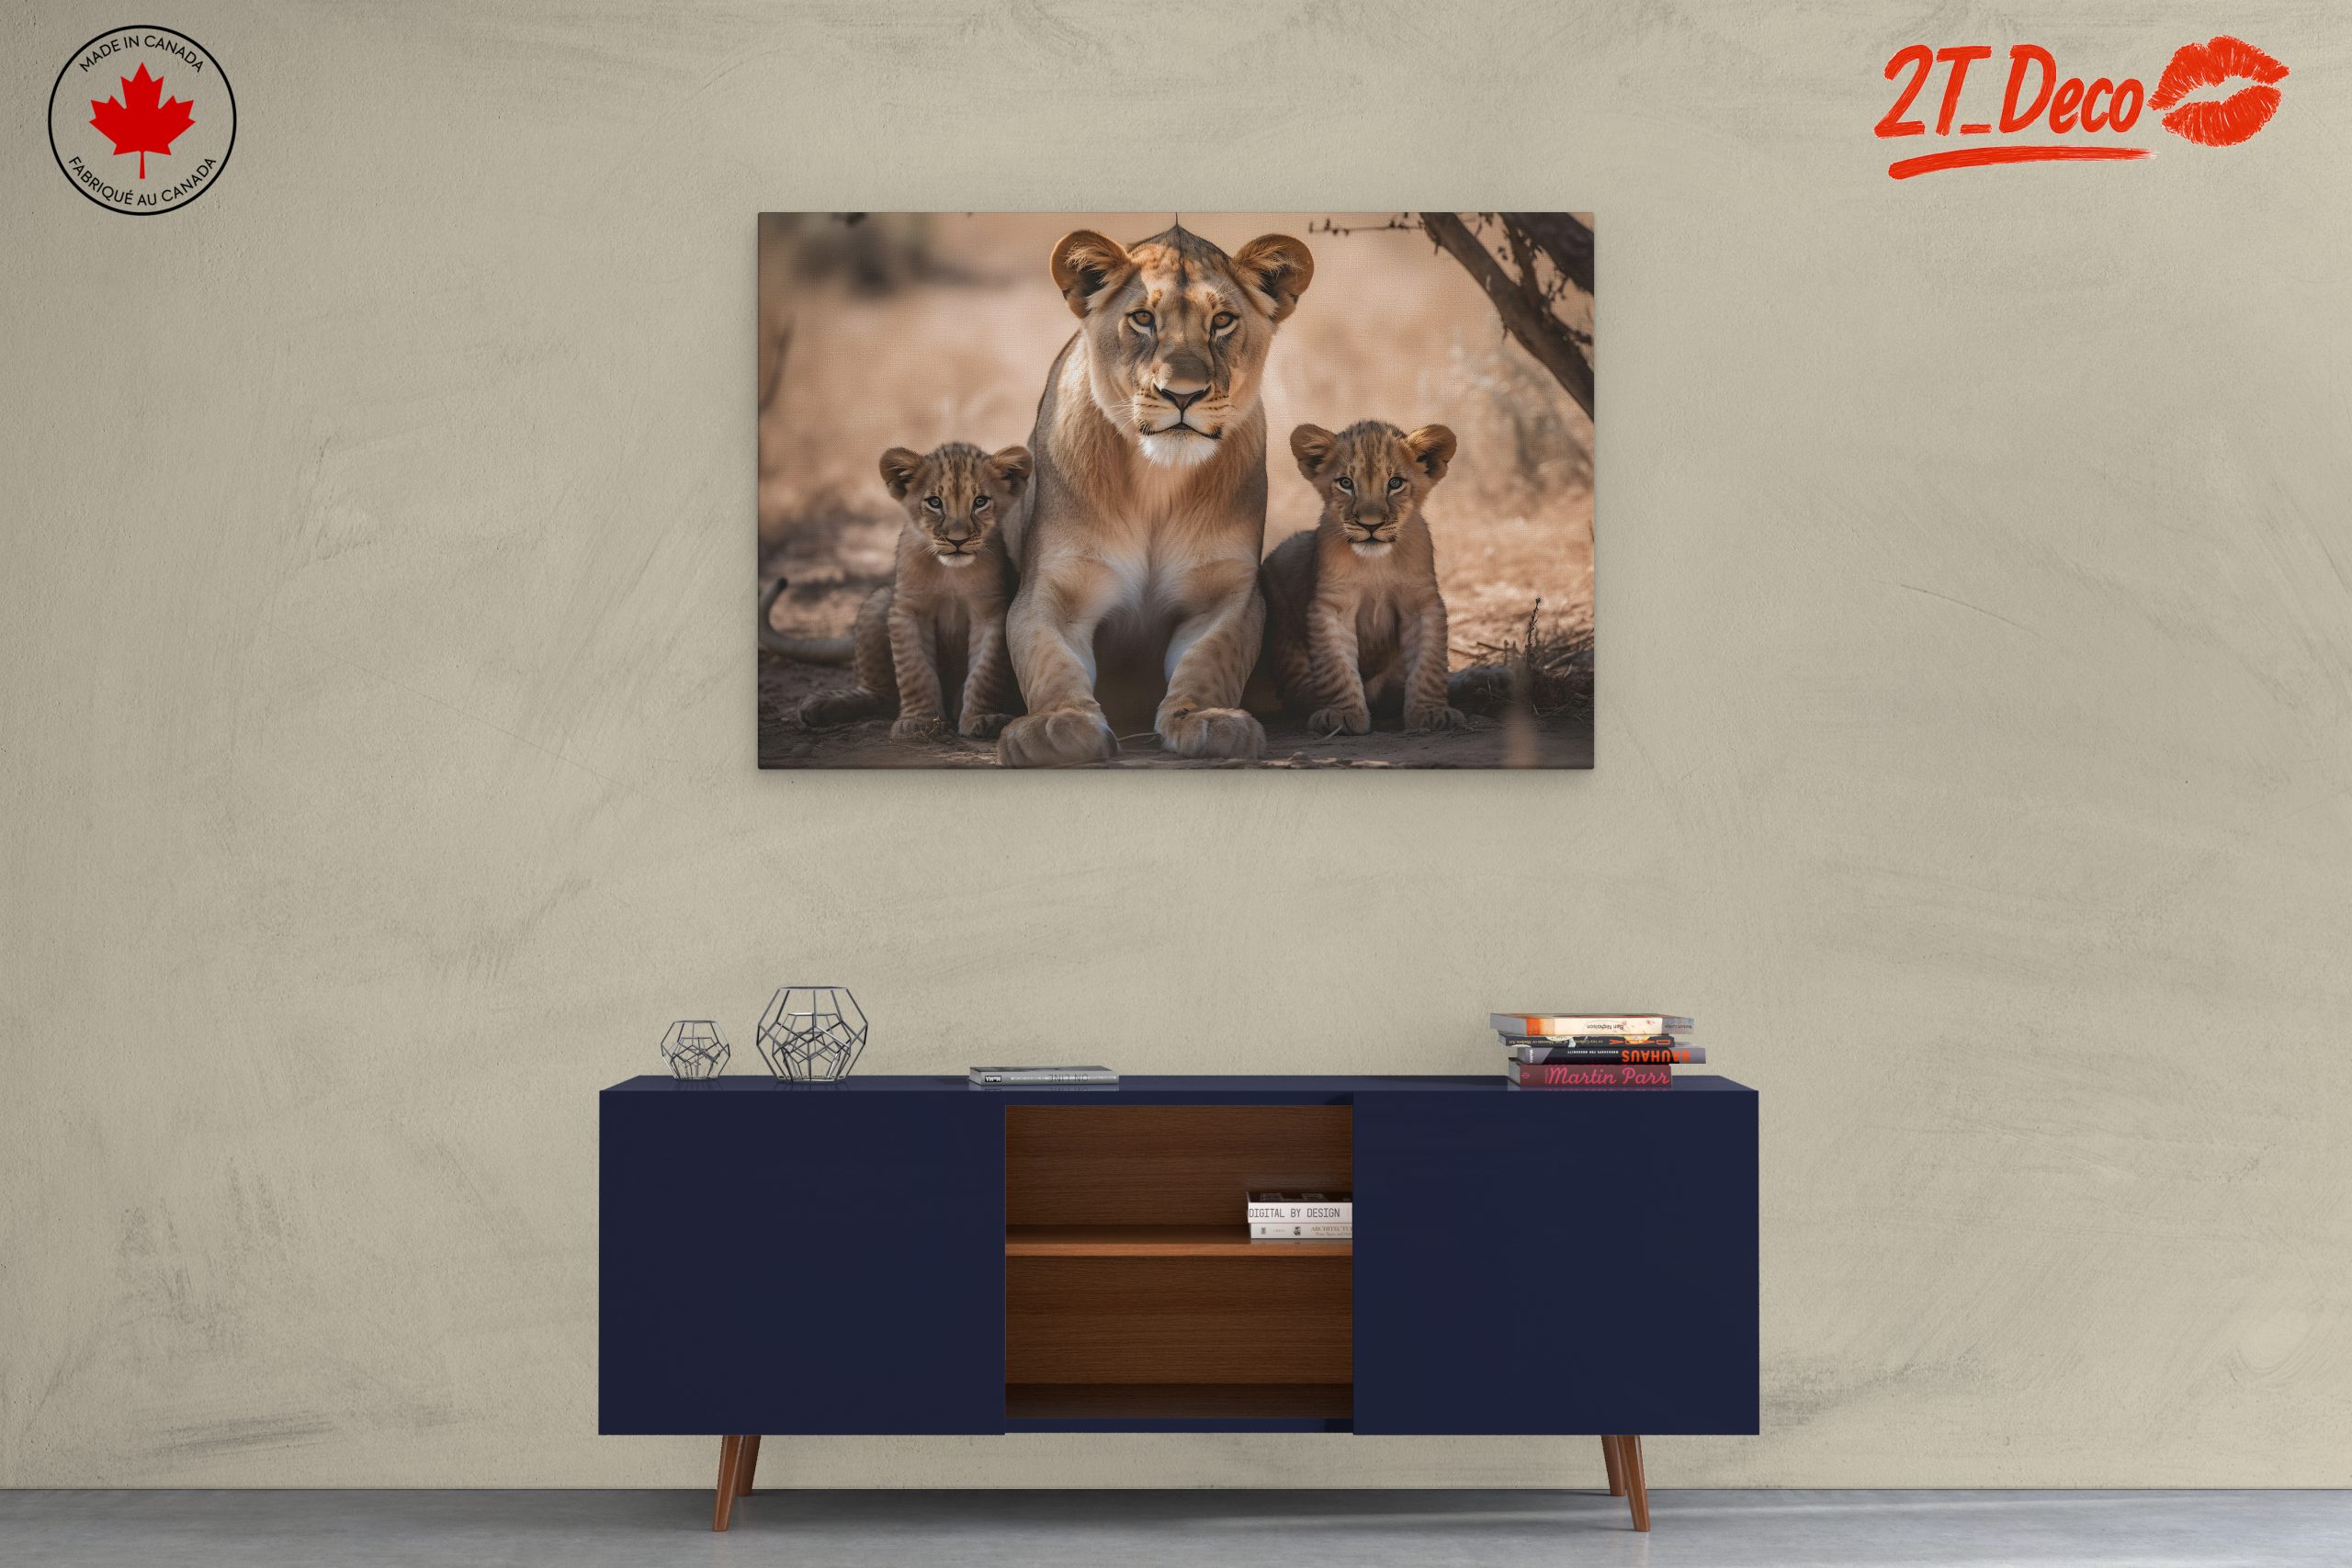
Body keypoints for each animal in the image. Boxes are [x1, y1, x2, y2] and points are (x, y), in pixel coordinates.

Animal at [786, 441, 1031, 741]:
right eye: (935, 502)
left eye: (980, 501)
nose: (957, 541)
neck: (950, 572)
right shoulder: (908, 609)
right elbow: (915, 670)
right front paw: (919, 722)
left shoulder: (990, 611)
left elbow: (984, 673)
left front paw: (981, 718)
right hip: (878, 602)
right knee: (879, 694)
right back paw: (821, 704)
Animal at [994, 225, 1314, 767]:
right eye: (1143, 318)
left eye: (1222, 321)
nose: (1182, 395)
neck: (1155, 481)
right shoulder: (1051, 592)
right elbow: (1049, 661)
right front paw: (1057, 725)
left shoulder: (1227, 594)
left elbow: (1210, 659)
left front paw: (1208, 719)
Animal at [1259, 420, 1468, 736]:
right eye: (1346, 483)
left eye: (1395, 483)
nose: (1370, 525)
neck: (1376, 564)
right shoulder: (1333, 605)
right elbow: (1336, 666)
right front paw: (1342, 715)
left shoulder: (1421, 602)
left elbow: (1428, 664)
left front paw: (1432, 713)